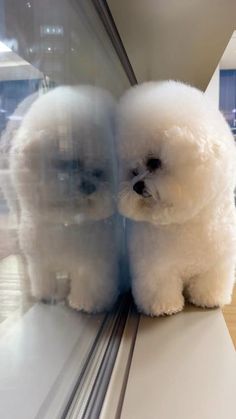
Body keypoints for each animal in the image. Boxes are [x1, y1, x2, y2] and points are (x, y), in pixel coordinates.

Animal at [9, 87, 120, 314]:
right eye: (71, 163)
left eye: (99, 172)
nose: (90, 186)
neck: (66, 223)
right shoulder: (40, 259)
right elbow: (43, 278)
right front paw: (47, 295)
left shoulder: (93, 263)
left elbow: (90, 284)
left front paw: (85, 304)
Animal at [117, 80, 236, 316]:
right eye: (133, 172)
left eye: (154, 162)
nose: (136, 186)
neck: (184, 223)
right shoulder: (155, 268)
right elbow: (160, 287)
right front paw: (164, 307)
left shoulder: (217, 264)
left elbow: (210, 283)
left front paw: (209, 299)